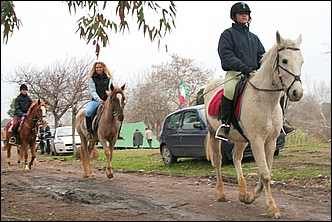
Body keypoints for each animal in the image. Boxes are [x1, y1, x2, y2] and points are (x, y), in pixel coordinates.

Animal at [202, 31, 304, 219]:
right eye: (285, 61)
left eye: (301, 61)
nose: (297, 93)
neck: (266, 100)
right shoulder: (257, 140)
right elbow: (265, 173)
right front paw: (272, 208)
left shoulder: (270, 141)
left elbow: (267, 172)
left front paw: (250, 197)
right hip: (214, 134)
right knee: (219, 161)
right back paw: (221, 194)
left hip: (241, 139)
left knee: (236, 157)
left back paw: (242, 193)